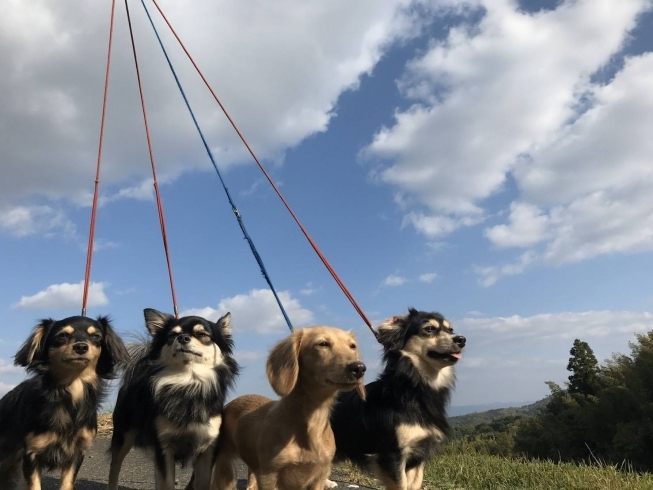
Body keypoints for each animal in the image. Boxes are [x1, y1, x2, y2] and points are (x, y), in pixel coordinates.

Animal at [0, 314, 128, 490]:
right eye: (62, 335)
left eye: (96, 336)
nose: (81, 347)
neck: (71, 391)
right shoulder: (31, 454)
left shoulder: (76, 454)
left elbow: (67, 484)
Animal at [107, 308, 239, 490]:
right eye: (172, 336)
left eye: (202, 334)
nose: (182, 337)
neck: (188, 383)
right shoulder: (164, 447)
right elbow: (167, 482)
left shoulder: (207, 449)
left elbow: (202, 481)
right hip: (124, 435)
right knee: (115, 466)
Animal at [206, 328, 364, 490]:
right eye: (323, 344)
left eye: (352, 346)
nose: (359, 368)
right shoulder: (269, 476)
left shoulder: (319, 476)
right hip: (225, 467)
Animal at [328, 308, 466, 490]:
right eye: (429, 329)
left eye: (450, 330)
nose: (462, 339)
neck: (413, 389)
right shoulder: (392, 454)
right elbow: (401, 484)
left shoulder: (418, 455)